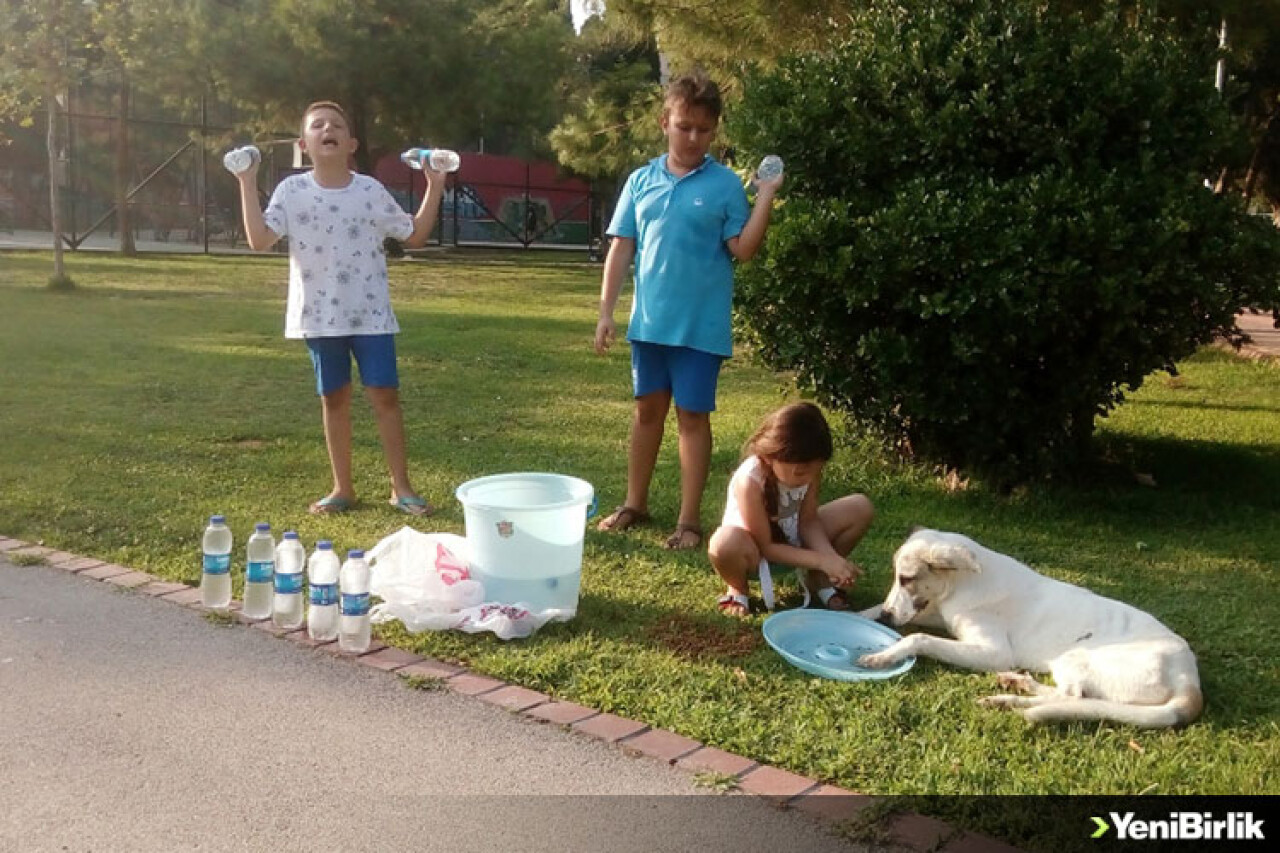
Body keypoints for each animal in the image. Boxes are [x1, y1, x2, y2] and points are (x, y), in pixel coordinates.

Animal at [860, 525, 1198, 722]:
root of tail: (1188, 675)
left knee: (1071, 697)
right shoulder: (940, 615)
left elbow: (919, 637)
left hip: (1076, 656)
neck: (962, 585)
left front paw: (884, 655)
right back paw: (1018, 684)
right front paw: (862, 614)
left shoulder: (994, 653)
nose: (888, 618)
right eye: (898, 578)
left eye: (907, 579)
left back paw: (1008, 699)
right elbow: (878, 610)